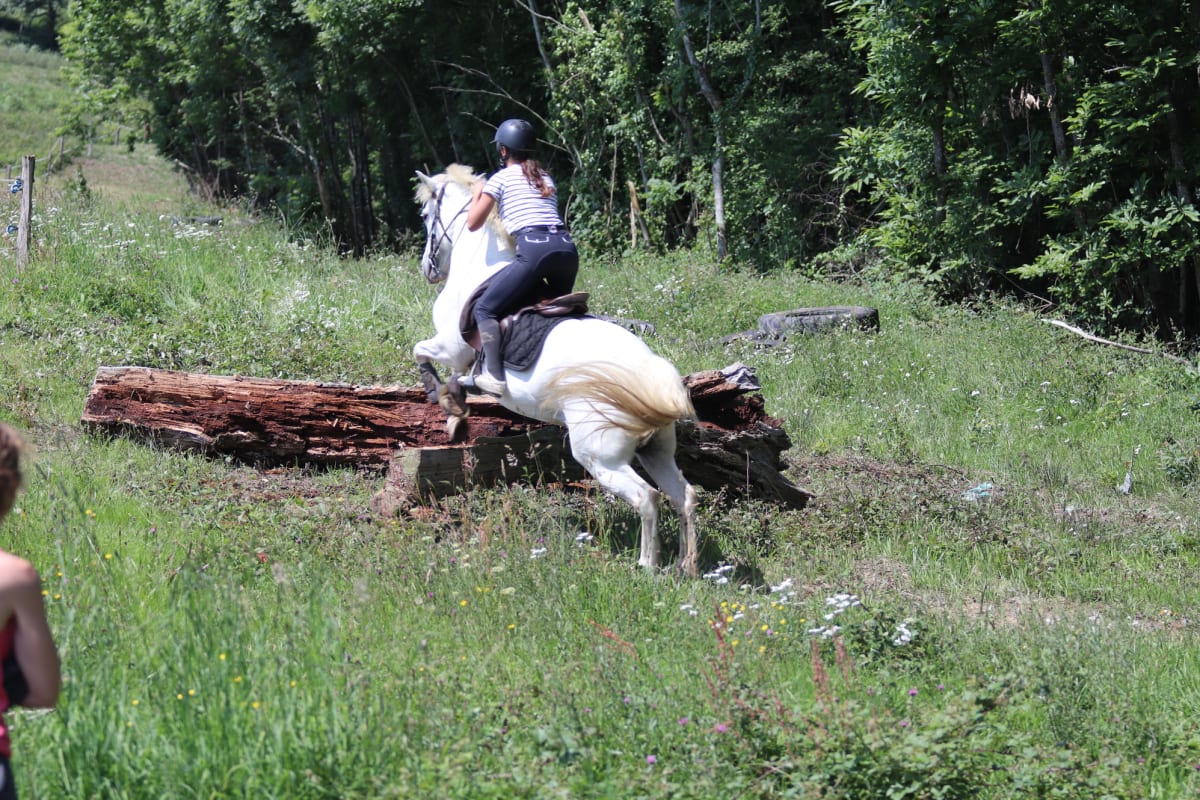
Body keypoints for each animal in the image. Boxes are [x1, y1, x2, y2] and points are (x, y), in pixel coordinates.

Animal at [412, 164, 700, 576]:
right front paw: (455, 407)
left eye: (425, 216)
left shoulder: (452, 347)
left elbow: (420, 351)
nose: (428, 269)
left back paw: (647, 566)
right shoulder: (462, 358)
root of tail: (656, 385)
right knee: (683, 496)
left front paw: (440, 396)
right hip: (657, 449)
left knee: (647, 497)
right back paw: (685, 566)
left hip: (601, 455)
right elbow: (455, 379)